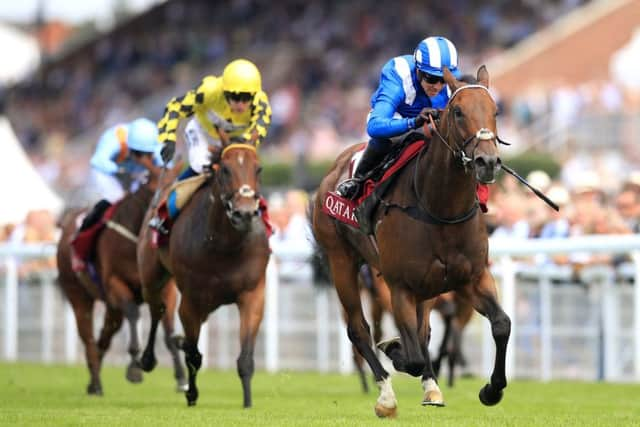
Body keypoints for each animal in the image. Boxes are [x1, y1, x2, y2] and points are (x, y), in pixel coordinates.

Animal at [56, 163, 186, 394]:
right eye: (155, 189)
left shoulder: (167, 289)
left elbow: (169, 331)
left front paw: (181, 378)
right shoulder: (116, 283)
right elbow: (134, 314)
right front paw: (134, 368)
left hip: (111, 306)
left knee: (105, 335)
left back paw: (93, 380)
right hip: (78, 294)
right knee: (88, 337)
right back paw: (96, 382)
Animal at [312, 67, 510, 418]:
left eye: (495, 111)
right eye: (458, 112)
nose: (487, 162)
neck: (440, 209)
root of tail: (334, 169)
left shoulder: (472, 277)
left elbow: (501, 324)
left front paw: (491, 390)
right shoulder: (400, 285)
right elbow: (413, 356)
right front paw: (395, 350)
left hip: (425, 288)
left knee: (423, 332)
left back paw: (431, 387)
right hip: (341, 261)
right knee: (359, 328)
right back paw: (385, 395)